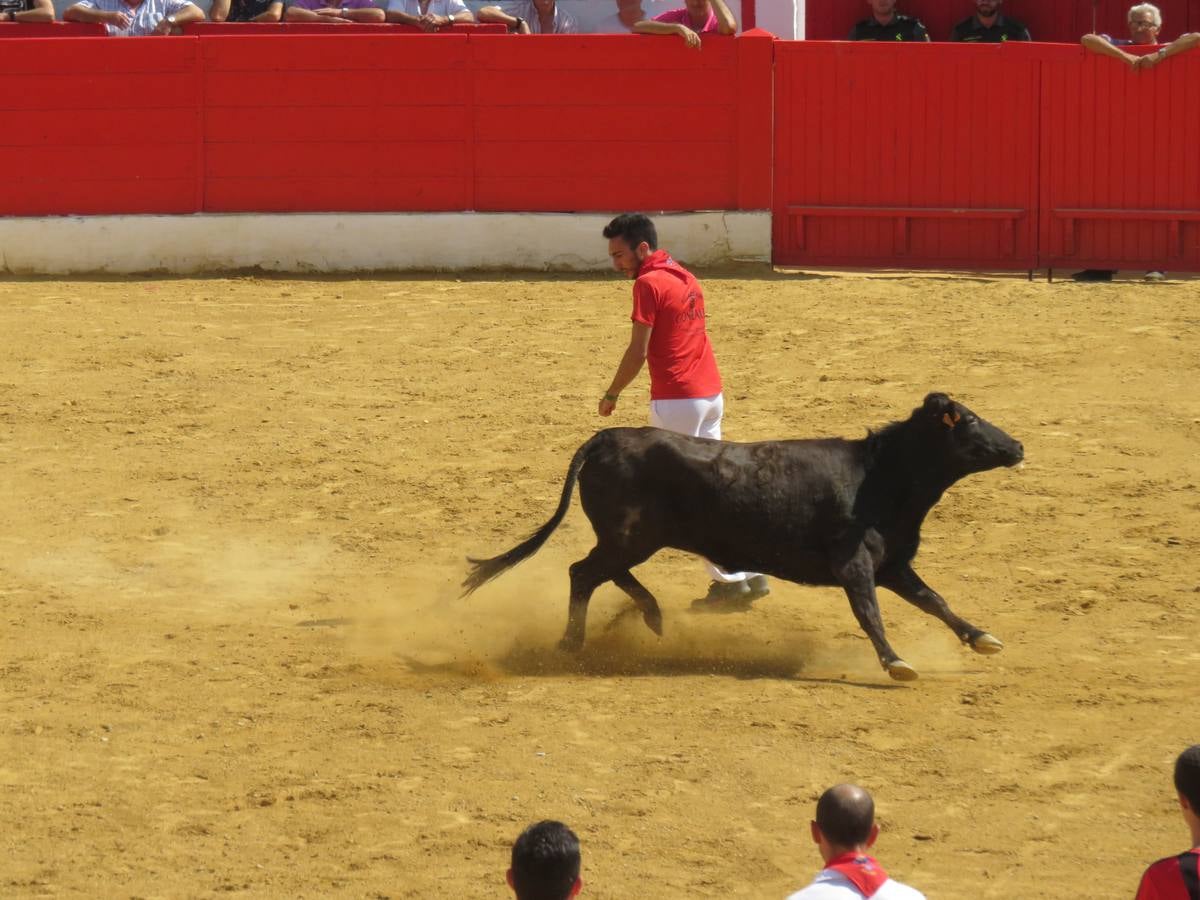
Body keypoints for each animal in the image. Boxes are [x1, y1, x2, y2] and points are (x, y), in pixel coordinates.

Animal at [458, 393, 1022, 681]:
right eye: (970, 420)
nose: (1016, 446)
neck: (878, 476)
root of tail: (602, 439)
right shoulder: (855, 565)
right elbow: (869, 613)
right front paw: (896, 661)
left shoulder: (893, 565)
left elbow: (935, 601)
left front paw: (982, 638)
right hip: (629, 537)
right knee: (585, 572)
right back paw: (577, 641)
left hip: (631, 539)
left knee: (600, 573)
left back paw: (648, 617)